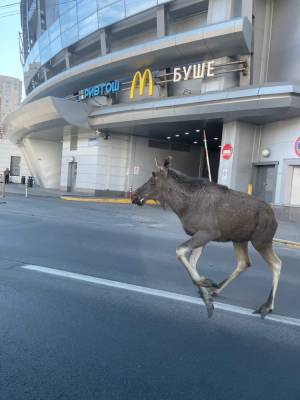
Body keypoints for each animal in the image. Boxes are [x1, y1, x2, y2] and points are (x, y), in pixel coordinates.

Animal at [131, 157, 282, 318]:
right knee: (244, 262)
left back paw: (267, 306)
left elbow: (180, 251)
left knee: (276, 263)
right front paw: (206, 291)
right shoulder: (200, 235)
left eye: (153, 180)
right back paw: (216, 289)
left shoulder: (208, 233)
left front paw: (206, 286)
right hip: (239, 240)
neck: (182, 206)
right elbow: (191, 261)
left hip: (261, 240)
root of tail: (275, 218)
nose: (134, 195)